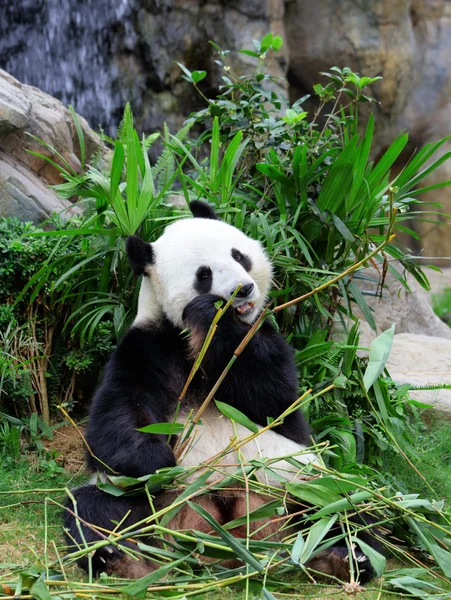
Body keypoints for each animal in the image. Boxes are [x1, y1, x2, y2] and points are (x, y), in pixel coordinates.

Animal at [64, 200, 382, 580]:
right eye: (204, 275)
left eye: (238, 255)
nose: (242, 289)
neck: (190, 340)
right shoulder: (147, 346)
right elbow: (117, 417)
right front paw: (156, 459)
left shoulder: (262, 337)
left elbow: (275, 400)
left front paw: (214, 319)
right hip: (152, 499)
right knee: (98, 510)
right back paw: (117, 557)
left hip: (299, 479)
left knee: (344, 506)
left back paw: (346, 556)